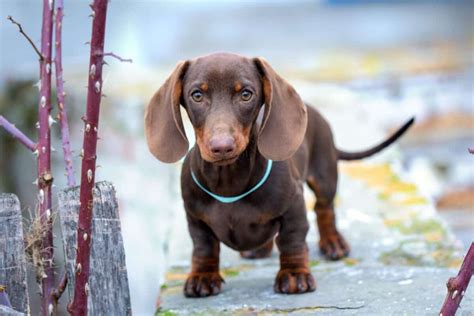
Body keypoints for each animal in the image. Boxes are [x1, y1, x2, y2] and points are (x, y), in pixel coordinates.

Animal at [145, 51, 414, 296]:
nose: (221, 147)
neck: (230, 181)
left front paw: (294, 274)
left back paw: (332, 242)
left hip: (325, 175)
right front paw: (203, 276)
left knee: (324, 209)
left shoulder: (293, 206)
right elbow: (204, 247)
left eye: (246, 94)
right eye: (197, 95)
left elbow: (291, 240)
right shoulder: (195, 217)